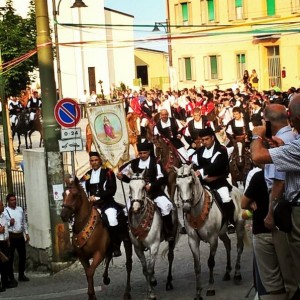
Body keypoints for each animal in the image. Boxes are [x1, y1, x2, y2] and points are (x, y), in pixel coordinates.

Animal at [127, 170, 178, 298]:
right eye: (130, 187)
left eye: (143, 187)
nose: (135, 208)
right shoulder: (138, 248)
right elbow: (145, 270)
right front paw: (150, 288)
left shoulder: (154, 246)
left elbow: (149, 270)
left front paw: (151, 294)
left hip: (172, 238)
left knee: (170, 257)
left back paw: (169, 282)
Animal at [173, 164, 246, 300]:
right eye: (177, 184)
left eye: (190, 183)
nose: (186, 208)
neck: (198, 210)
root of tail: (238, 191)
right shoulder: (193, 240)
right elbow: (197, 266)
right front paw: (198, 292)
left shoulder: (213, 239)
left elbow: (211, 262)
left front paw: (210, 288)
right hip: (221, 232)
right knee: (228, 244)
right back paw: (227, 272)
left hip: (239, 227)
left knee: (239, 247)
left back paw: (237, 274)